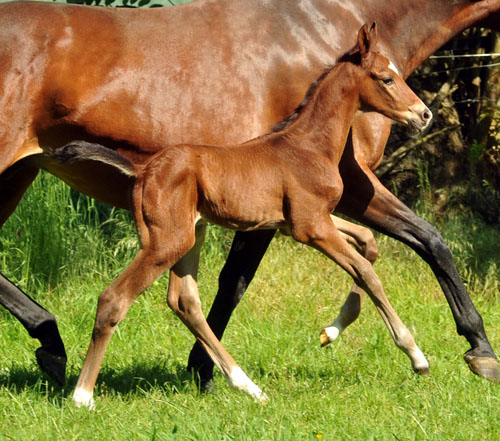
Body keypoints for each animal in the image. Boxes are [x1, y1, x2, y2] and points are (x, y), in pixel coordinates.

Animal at [68, 24, 432, 406]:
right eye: (386, 78)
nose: (424, 114)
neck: (308, 146)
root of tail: (142, 171)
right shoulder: (311, 228)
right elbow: (366, 271)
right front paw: (417, 357)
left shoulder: (303, 221)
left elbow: (368, 243)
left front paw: (330, 332)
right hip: (165, 242)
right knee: (115, 298)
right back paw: (82, 395)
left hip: (190, 236)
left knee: (184, 301)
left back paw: (248, 385)